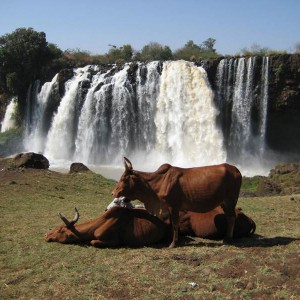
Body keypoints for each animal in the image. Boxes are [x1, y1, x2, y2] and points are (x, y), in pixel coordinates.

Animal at [111, 158, 243, 247]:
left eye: (124, 179)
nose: (113, 193)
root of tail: (236, 170)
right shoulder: (168, 207)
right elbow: (171, 223)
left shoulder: (173, 206)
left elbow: (175, 223)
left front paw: (173, 244)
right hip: (225, 202)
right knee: (229, 217)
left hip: (230, 200)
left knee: (231, 217)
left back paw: (228, 240)